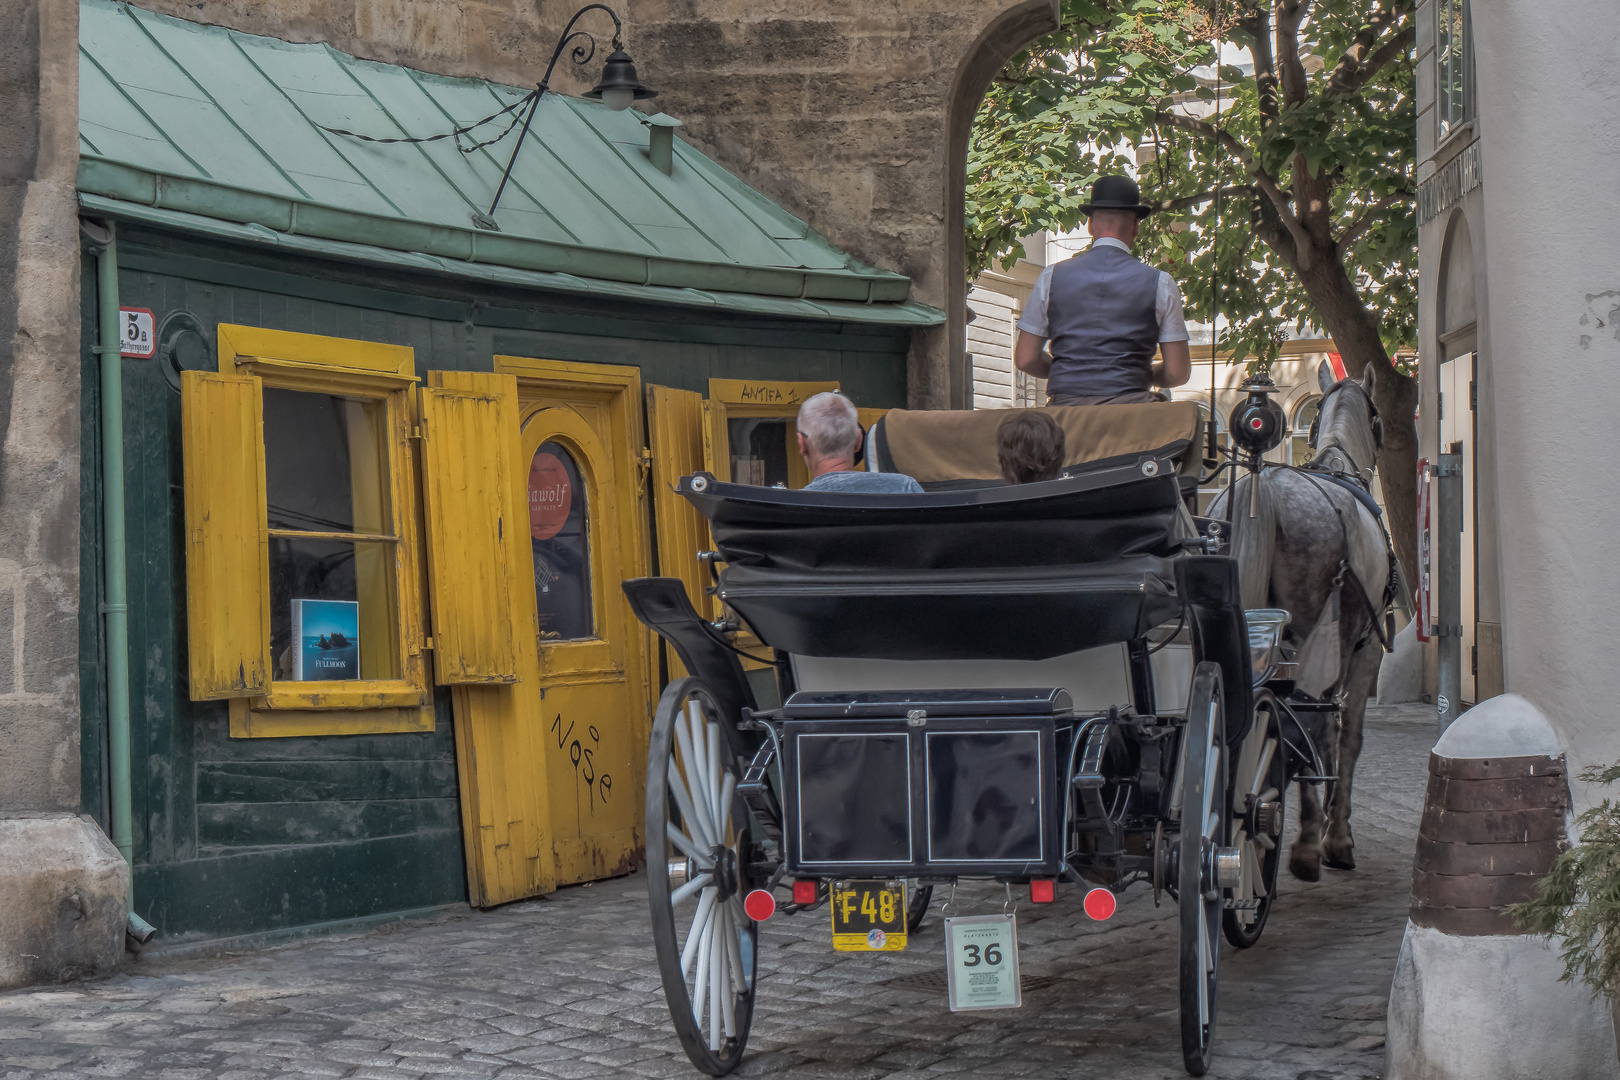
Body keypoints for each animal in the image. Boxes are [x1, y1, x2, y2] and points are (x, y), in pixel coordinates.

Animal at [1218, 362, 1393, 880]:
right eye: (1378, 420)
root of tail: (1259, 490)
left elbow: (1329, 734)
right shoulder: (1365, 648)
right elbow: (1345, 735)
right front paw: (1337, 837)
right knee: (1300, 723)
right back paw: (1308, 842)